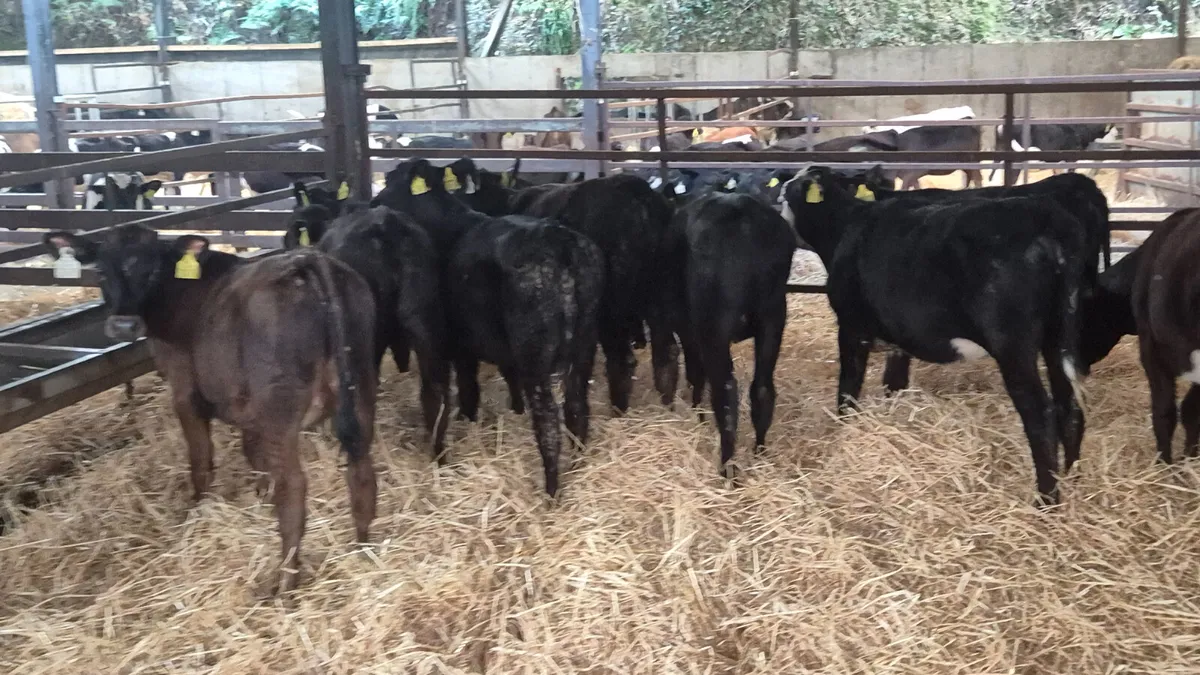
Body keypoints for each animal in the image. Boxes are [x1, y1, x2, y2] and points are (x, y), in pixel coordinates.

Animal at [41, 226, 377, 593]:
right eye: (101, 270)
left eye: (153, 270)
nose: (123, 326)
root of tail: (307, 260)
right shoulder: (245, 405)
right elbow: (254, 456)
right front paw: (259, 496)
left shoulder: (185, 392)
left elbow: (201, 461)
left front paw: (198, 510)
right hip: (360, 386)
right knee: (361, 470)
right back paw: (363, 549)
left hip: (280, 408)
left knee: (293, 488)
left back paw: (285, 583)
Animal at [373, 159, 605, 497]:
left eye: (393, 182)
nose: (374, 203)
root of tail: (561, 241)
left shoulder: (454, 344)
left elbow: (467, 389)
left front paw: (468, 419)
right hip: (584, 343)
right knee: (577, 406)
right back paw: (578, 463)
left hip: (536, 351)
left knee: (548, 419)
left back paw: (550, 492)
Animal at [446, 160, 678, 412]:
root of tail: (638, 193)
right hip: (658, 297)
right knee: (667, 352)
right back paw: (667, 403)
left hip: (613, 307)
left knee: (622, 359)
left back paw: (618, 409)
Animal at [660, 190, 796, 475]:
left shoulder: (689, 329)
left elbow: (695, 374)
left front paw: (699, 416)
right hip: (773, 316)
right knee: (762, 388)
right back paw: (760, 453)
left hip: (715, 327)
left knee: (725, 392)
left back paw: (728, 470)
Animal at [781, 166, 1088, 506]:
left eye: (786, 194)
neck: (844, 226)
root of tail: (1047, 219)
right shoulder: (899, 338)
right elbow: (894, 383)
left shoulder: (851, 328)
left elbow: (848, 389)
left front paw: (842, 430)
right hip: (1060, 334)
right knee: (1069, 405)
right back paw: (1072, 477)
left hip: (1013, 344)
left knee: (1039, 412)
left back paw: (1047, 499)